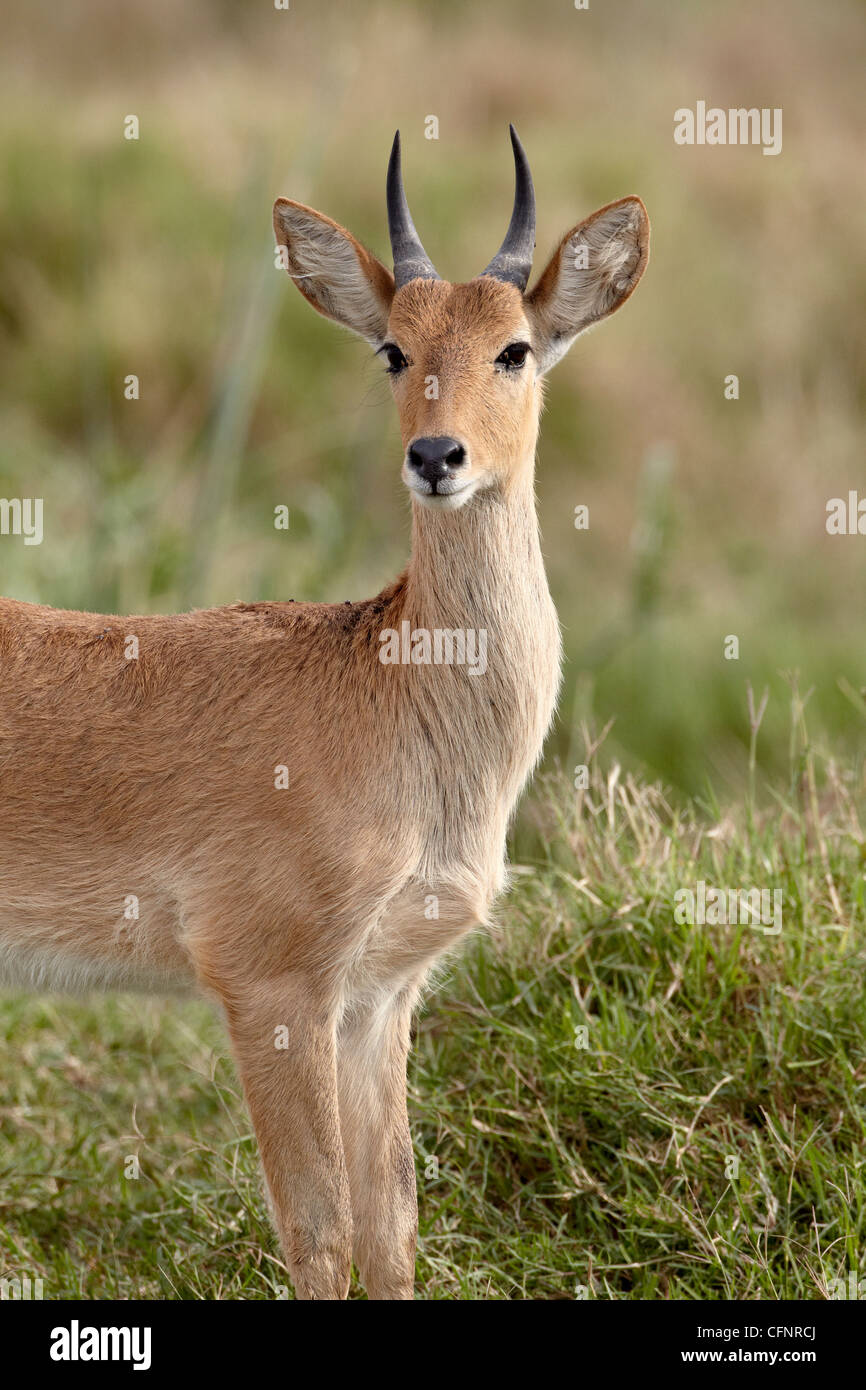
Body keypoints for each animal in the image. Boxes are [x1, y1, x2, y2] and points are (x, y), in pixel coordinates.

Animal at [0, 125, 650, 1295]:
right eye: (393, 348)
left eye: (514, 348)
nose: (435, 457)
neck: (394, 696)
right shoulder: (272, 986)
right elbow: (319, 1231)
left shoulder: (377, 999)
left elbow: (391, 1227)